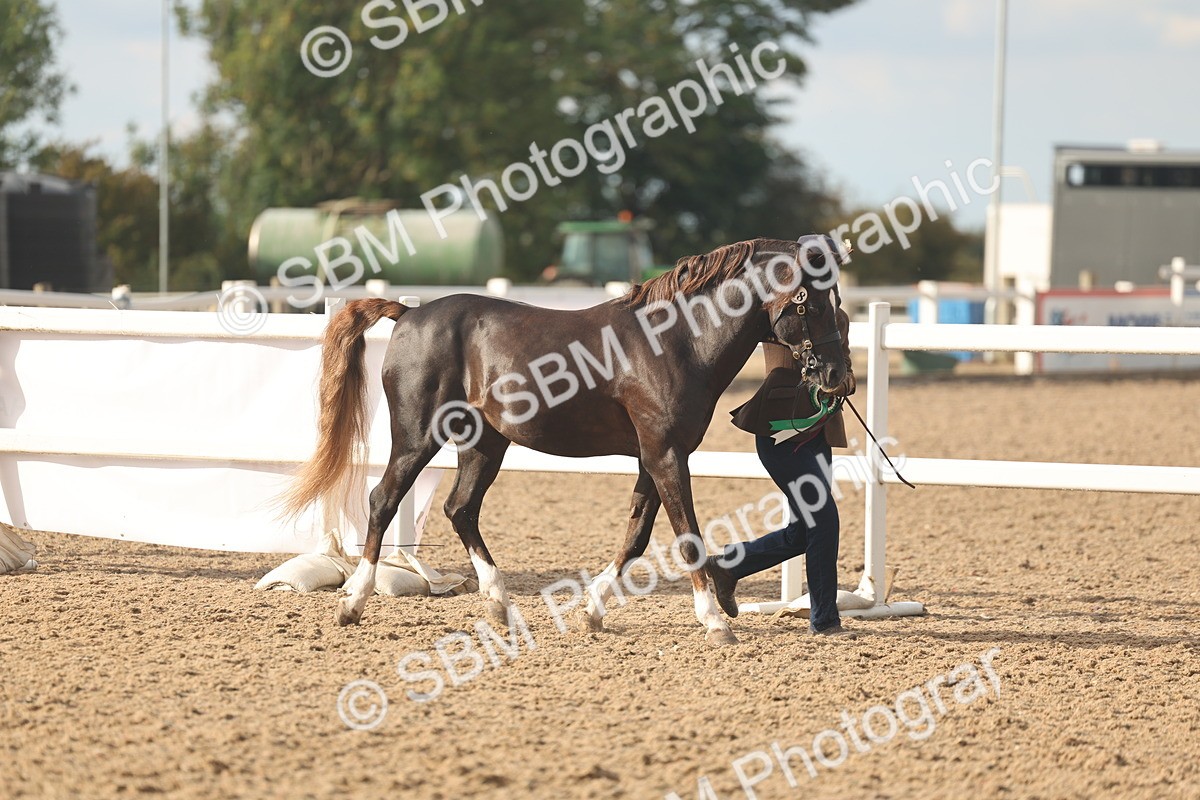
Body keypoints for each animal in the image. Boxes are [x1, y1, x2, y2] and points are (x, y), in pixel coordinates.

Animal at [281, 235, 848, 645]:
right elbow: (687, 535)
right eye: (812, 302)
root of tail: (409, 313)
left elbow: (637, 536)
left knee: (461, 509)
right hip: (418, 436)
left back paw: (501, 607)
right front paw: (714, 621)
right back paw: (353, 602)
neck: (675, 341)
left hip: (484, 444)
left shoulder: (655, 456)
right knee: (383, 499)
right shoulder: (665, 454)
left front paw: (593, 613)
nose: (838, 377)